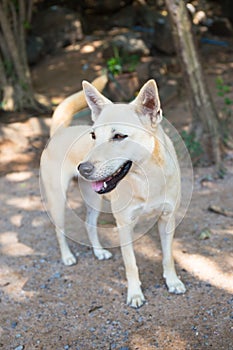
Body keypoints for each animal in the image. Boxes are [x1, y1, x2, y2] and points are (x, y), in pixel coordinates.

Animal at [40, 76, 186, 306]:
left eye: (118, 136)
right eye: (93, 135)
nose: (83, 168)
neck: (147, 178)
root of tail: (59, 132)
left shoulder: (167, 219)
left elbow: (168, 256)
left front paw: (172, 282)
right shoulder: (124, 226)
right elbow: (131, 263)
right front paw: (135, 294)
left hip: (94, 200)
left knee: (89, 224)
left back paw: (99, 252)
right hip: (57, 199)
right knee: (59, 230)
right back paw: (67, 257)